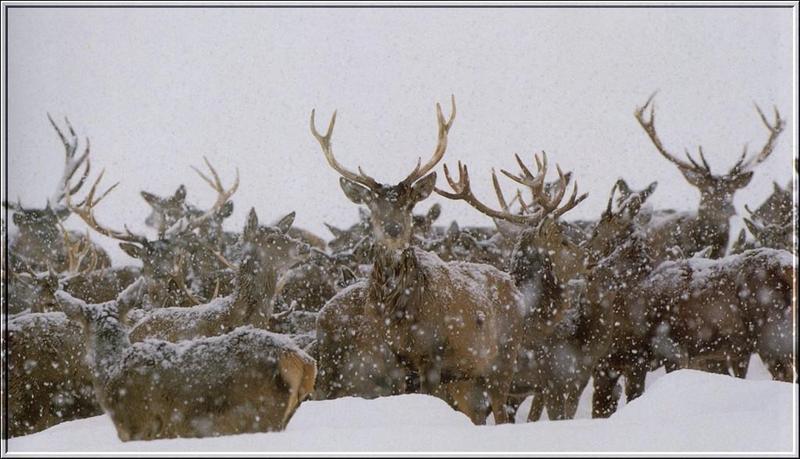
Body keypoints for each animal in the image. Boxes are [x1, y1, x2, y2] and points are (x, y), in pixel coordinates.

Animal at [312, 97, 532, 424]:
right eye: (371, 204)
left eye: (409, 203)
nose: (393, 230)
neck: (398, 315)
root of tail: (512, 285)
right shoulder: (391, 360)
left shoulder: (433, 355)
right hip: (466, 378)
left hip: (504, 359)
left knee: (501, 411)